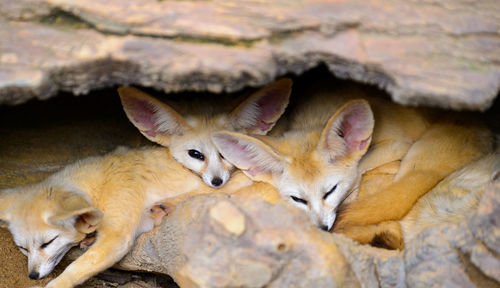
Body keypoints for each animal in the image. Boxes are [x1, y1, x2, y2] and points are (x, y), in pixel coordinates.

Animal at [0, 147, 254, 286]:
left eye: (48, 243)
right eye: (23, 248)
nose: (33, 276)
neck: (98, 185)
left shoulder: (118, 238)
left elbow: (75, 269)